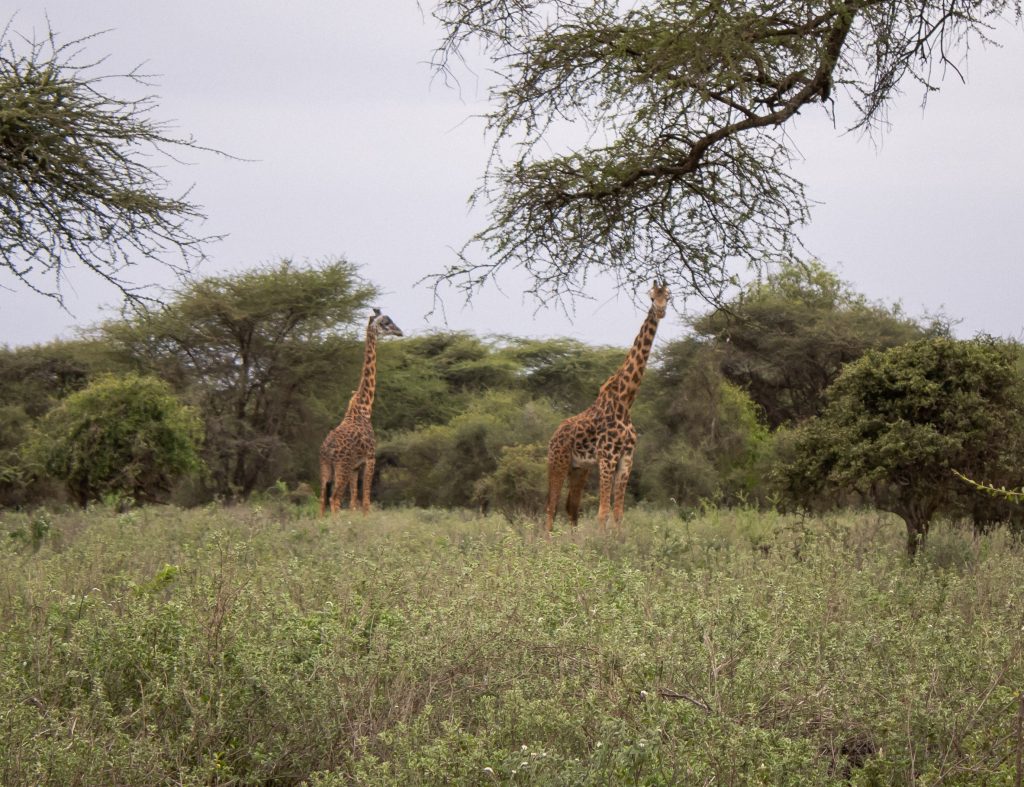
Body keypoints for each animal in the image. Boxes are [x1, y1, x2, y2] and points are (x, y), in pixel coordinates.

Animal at [319, 308, 403, 515]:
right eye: (386, 323)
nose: (400, 332)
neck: (364, 408)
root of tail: (326, 451)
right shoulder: (370, 458)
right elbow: (365, 502)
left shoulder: (356, 466)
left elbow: (354, 502)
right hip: (342, 466)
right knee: (334, 499)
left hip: (325, 468)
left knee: (322, 500)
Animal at [544, 282, 671, 534]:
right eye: (652, 298)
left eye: (668, 297)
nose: (661, 311)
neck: (625, 400)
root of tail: (553, 436)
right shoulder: (607, 458)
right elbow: (602, 513)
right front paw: (601, 543)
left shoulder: (626, 459)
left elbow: (618, 514)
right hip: (558, 462)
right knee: (550, 508)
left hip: (579, 468)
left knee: (570, 507)